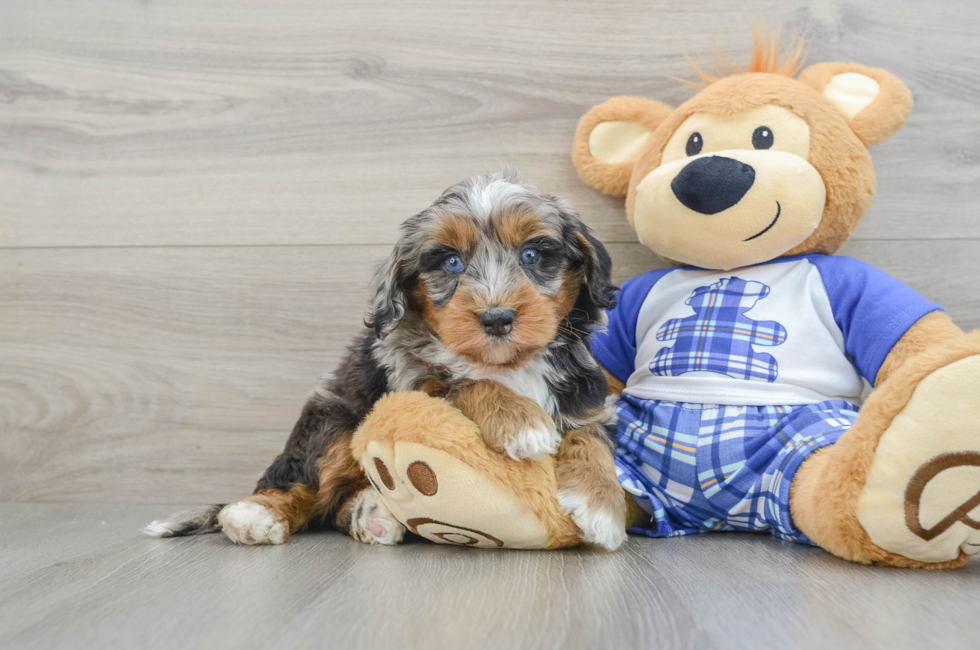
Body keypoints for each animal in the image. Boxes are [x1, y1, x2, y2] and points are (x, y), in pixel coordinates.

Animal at [145, 171, 628, 548]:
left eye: (532, 254)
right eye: (451, 262)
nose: (497, 318)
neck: (505, 363)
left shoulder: (589, 399)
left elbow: (591, 438)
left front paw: (601, 505)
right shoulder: (411, 380)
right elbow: (462, 382)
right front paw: (520, 420)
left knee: (333, 506)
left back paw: (372, 514)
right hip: (336, 423)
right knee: (304, 482)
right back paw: (257, 514)